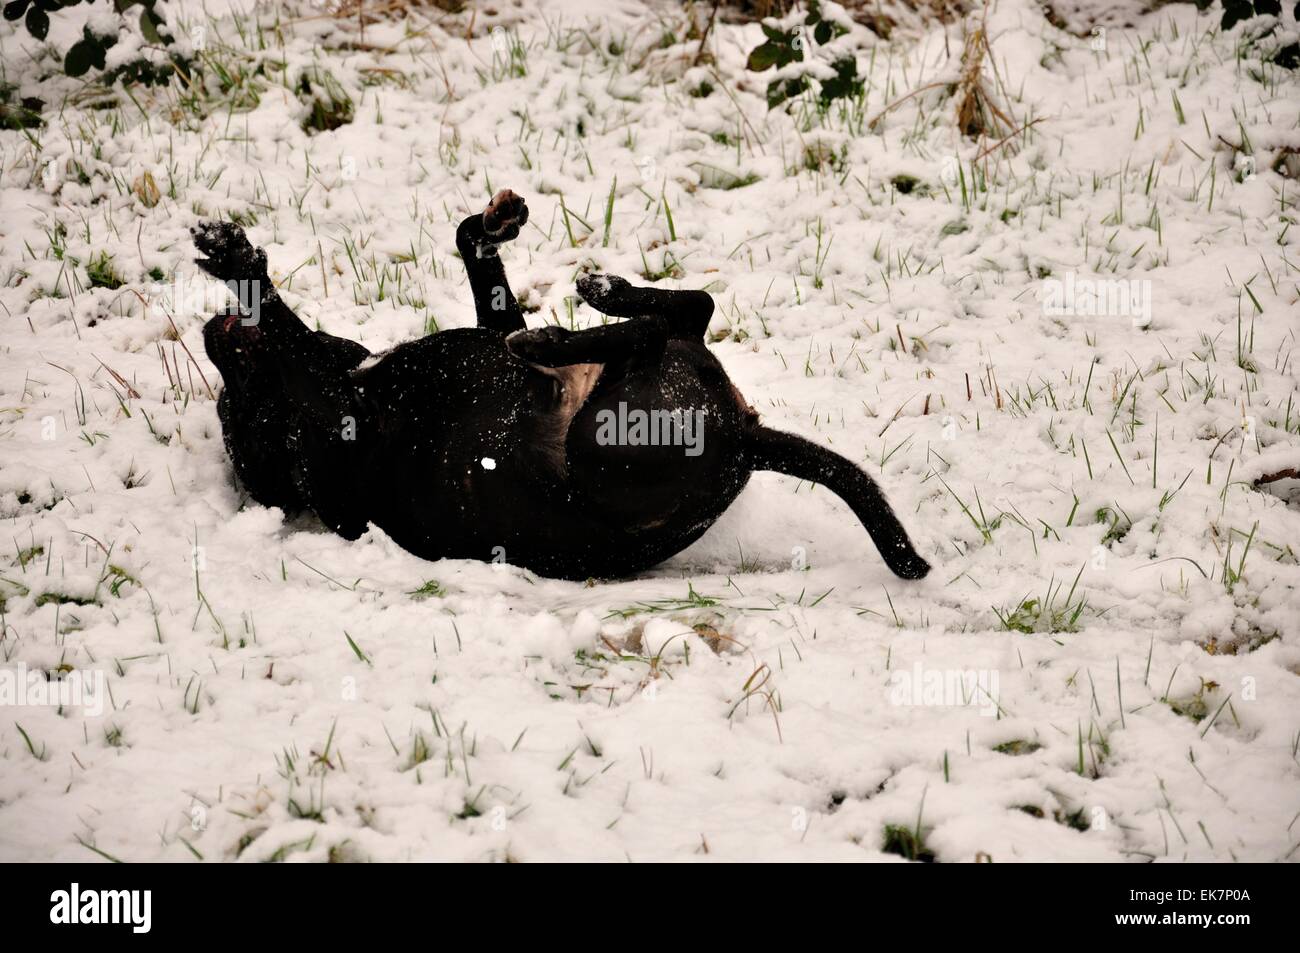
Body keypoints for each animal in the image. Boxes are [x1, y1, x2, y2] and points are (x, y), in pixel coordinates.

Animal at [192, 189, 930, 579]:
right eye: (236, 413)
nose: (209, 335)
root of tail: (746, 440)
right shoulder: (334, 408)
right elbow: (276, 309)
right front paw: (236, 257)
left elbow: (475, 256)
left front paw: (492, 222)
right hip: (604, 440)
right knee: (651, 332)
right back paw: (568, 330)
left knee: (687, 311)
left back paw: (603, 296)